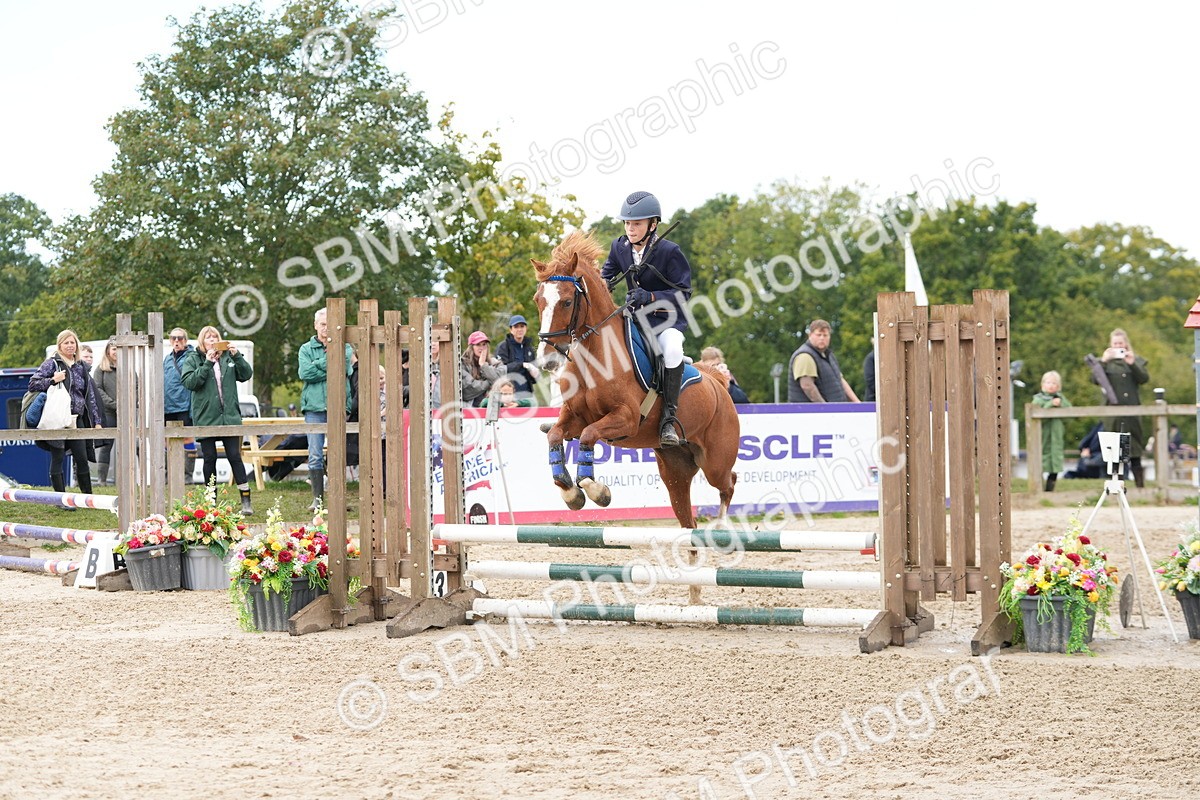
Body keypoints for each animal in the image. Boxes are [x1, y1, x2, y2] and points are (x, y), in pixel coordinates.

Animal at [531, 230, 739, 527]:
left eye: (567, 301)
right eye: (538, 300)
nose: (547, 360)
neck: (594, 357)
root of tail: (717, 382)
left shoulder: (626, 418)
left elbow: (589, 434)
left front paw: (597, 490)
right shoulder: (574, 417)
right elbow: (555, 436)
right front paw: (571, 492)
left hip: (715, 460)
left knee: (728, 481)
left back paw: (721, 526)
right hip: (675, 469)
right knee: (687, 514)